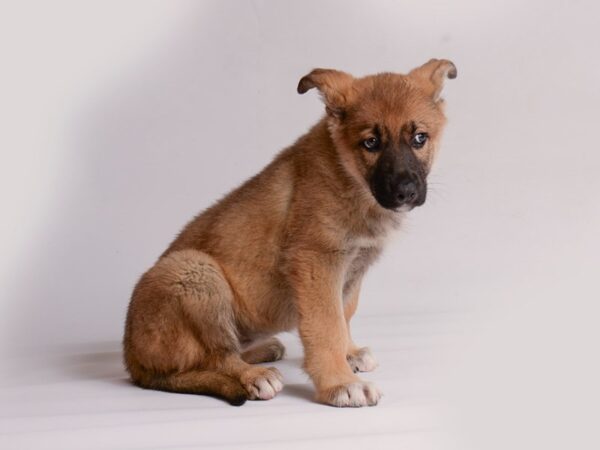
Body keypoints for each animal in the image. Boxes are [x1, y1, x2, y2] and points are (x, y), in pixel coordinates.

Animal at [124, 58, 458, 406]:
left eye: (419, 138)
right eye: (371, 143)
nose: (405, 192)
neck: (349, 177)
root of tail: (131, 360)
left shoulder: (353, 269)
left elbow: (344, 314)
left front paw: (350, 353)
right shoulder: (315, 260)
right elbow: (326, 326)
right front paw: (340, 382)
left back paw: (261, 350)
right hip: (194, 271)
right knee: (216, 357)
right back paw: (254, 376)